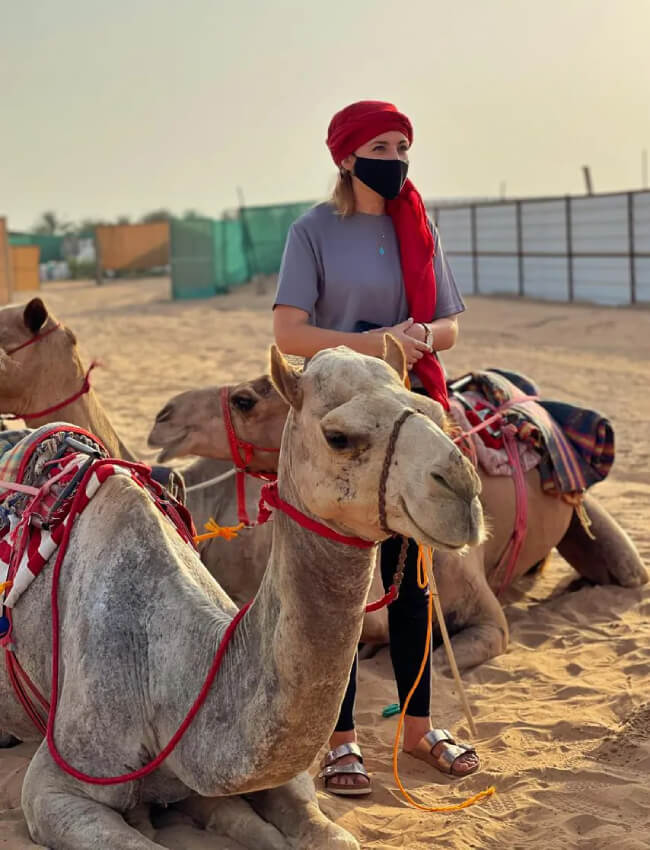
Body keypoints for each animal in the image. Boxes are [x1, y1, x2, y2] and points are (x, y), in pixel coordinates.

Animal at [0, 342, 480, 844]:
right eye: (338, 437)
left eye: (436, 413)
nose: (462, 489)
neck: (170, 670)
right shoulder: (59, 782)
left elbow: (326, 833)